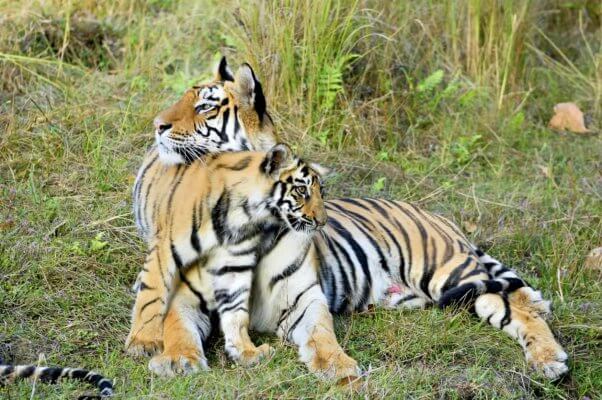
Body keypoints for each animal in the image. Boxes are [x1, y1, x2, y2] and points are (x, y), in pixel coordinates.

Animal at [131, 57, 568, 380]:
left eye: (205, 105)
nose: (157, 126)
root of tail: (439, 217)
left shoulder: (303, 297)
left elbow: (322, 334)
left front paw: (339, 367)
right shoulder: (186, 296)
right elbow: (175, 327)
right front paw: (178, 359)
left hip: (449, 274)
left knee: (516, 306)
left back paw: (551, 359)